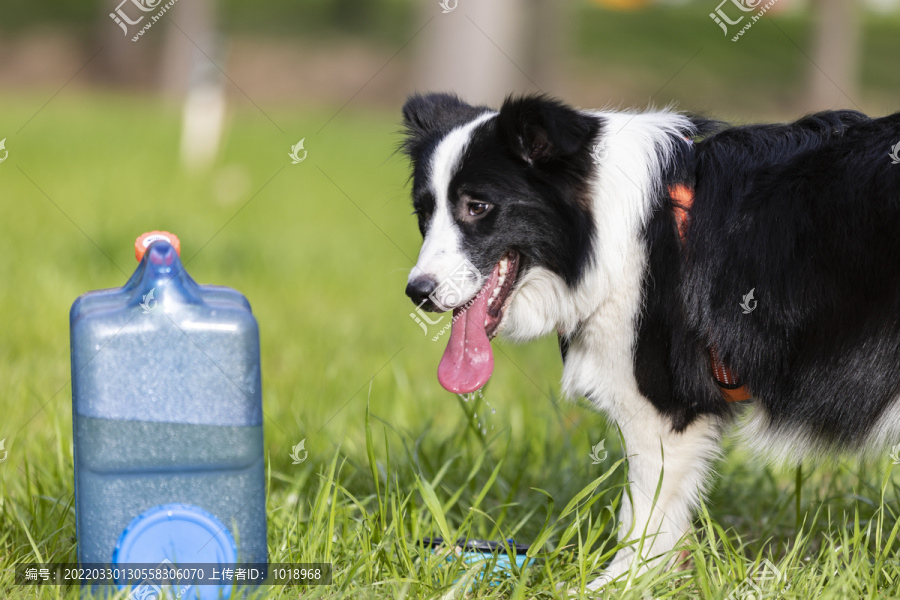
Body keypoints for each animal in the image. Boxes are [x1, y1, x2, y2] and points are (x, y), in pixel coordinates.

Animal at [400, 92, 900, 584]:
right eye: (423, 213)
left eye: (477, 207)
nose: (417, 293)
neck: (614, 237)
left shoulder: (661, 410)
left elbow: (642, 517)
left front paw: (614, 584)